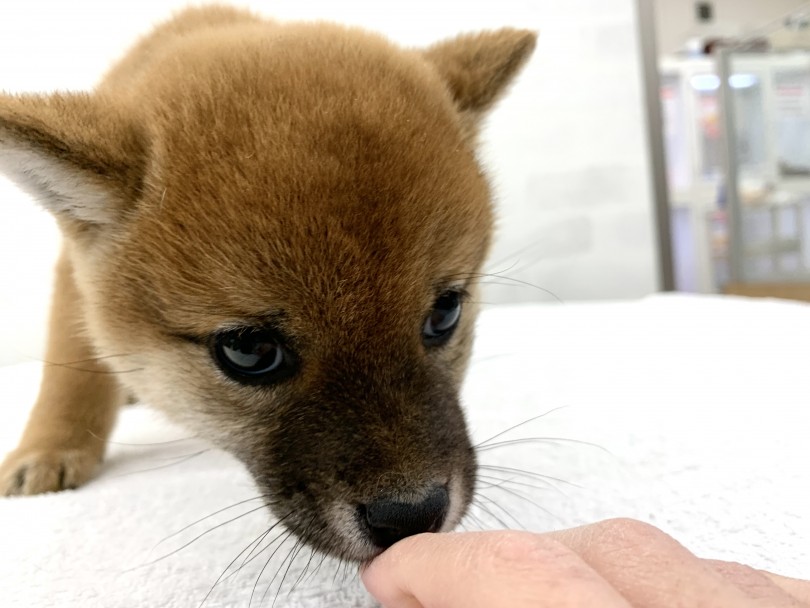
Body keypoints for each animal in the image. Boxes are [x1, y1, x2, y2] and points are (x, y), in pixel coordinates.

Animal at [0, 5, 532, 564]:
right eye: (250, 350)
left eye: (445, 313)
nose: (412, 516)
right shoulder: (71, 273)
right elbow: (71, 371)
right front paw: (49, 448)